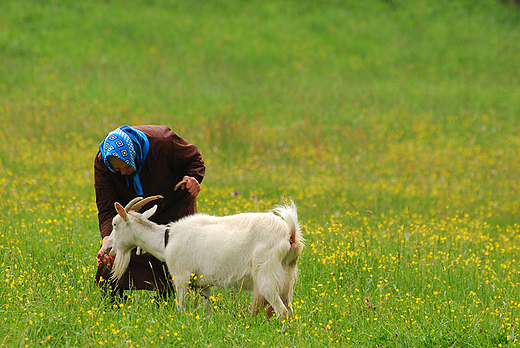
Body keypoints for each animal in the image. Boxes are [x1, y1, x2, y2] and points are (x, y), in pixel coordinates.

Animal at [107, 194, 306, 320]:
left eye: (115, 224)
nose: (109, 247)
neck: (166, 240)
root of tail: (290, 235)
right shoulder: (205, 284)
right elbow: (207, 309)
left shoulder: (181, 276)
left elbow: (180, 306)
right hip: (287, 277)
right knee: (290, 311)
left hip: (266, 275)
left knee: (282, 312)